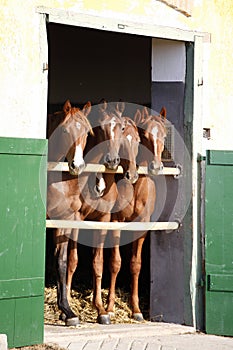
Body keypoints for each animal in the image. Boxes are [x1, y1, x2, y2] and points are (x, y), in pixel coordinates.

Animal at [106, 105, 167, 322]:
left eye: (164, 135)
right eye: (146, 135)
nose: (156, 166)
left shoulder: (141, 226)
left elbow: (135, 264)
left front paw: (136, 309)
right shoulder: (115, 222)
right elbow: (115, 262)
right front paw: (109, 309)